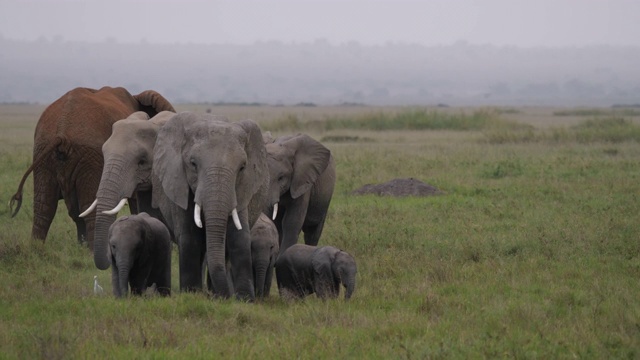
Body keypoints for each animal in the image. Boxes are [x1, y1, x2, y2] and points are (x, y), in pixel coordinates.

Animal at [10, 87, 175, 250]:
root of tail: (62, 130)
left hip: (44, 152)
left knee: (44, 205)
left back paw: (37, 248)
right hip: (90, 157)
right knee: (88, 205)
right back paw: (93, 251)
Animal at [151, 111, 268, 300]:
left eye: (242, 167)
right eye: (193, 164)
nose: (225, 297)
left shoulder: (243, 188)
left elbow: (238, 237)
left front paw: (245, 299)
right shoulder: (179, 182)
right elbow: (190, 237)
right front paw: (191, 294)